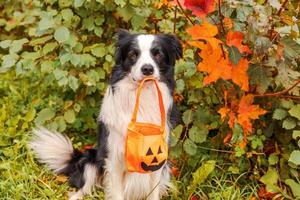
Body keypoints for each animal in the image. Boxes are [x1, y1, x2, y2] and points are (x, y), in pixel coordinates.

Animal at [30, 30, 182, 200]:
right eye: (133, 54)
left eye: (158, 54)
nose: (147, 69)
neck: (141, 96)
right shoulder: (113, 157)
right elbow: (116, 193)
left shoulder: (157, 161)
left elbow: (153, 192)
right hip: (90, 159)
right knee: (86, 185)